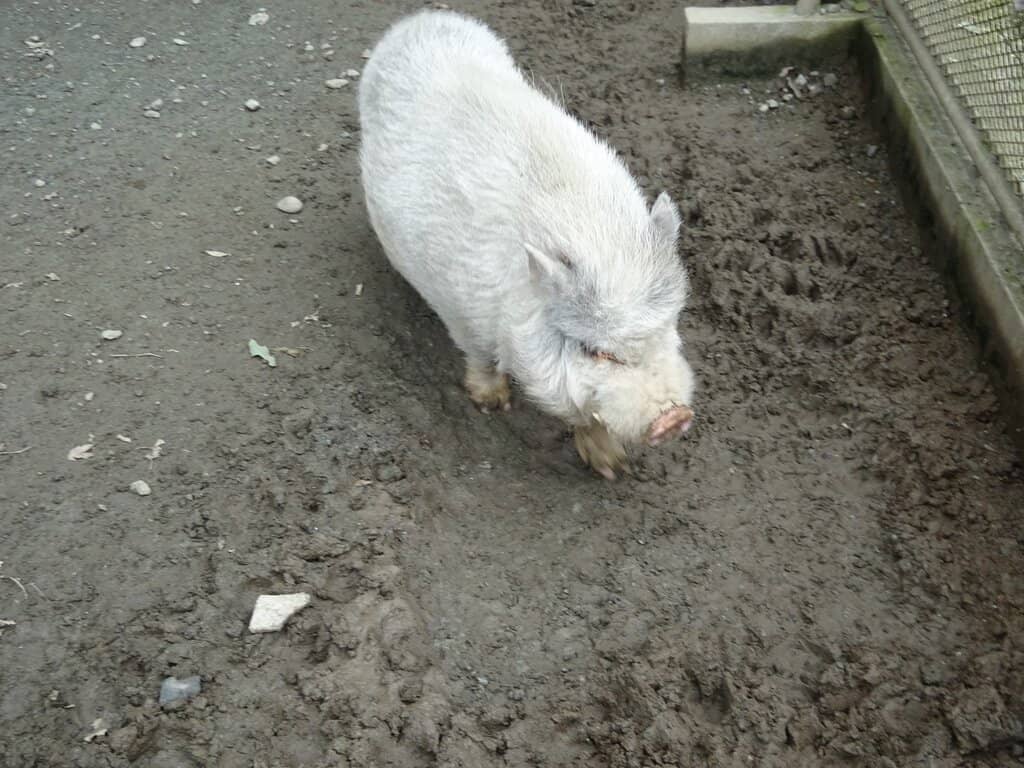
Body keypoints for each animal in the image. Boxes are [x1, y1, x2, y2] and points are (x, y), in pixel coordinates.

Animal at [357, 9, 696, 479]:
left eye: (668, 327)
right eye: (594, 351)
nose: (676, 417)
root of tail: (420, 18)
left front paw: (613, 467)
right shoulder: (462, 312)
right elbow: (480, 357)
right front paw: (491, 404)